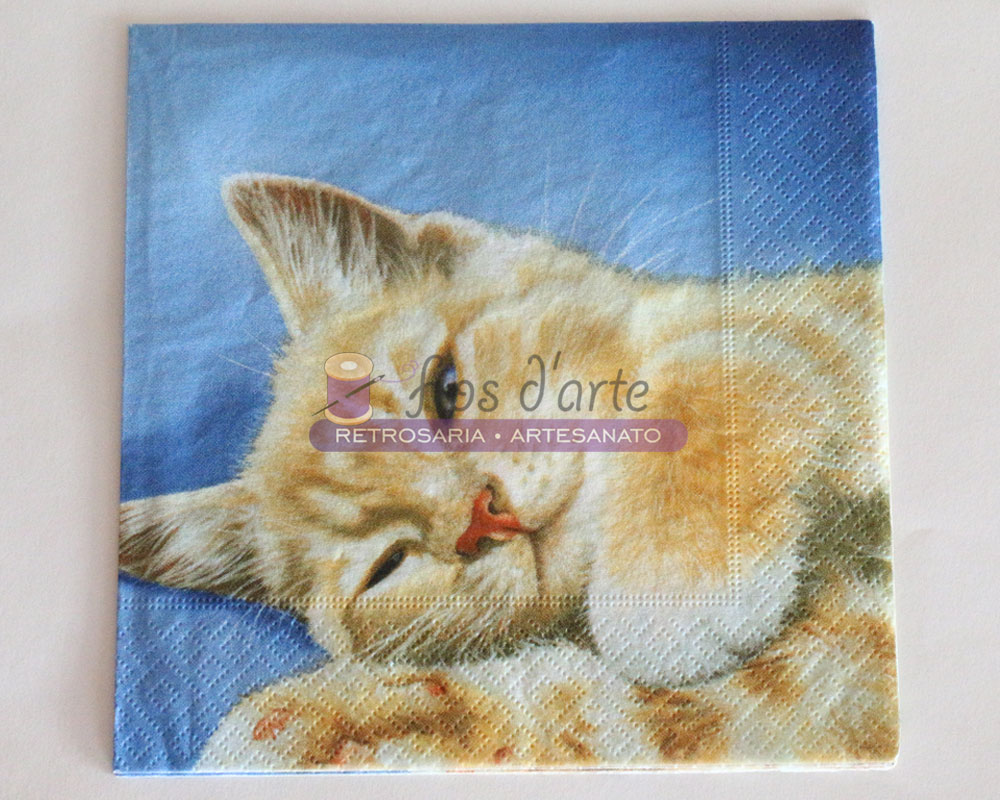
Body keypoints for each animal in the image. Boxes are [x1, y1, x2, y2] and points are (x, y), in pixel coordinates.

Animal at [120, 174, 897, 769]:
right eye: (388, 565)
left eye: (445, 389)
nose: (481, 518)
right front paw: (322, 721)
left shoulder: (827, 321)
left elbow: (728, 366)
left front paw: (674, 591)